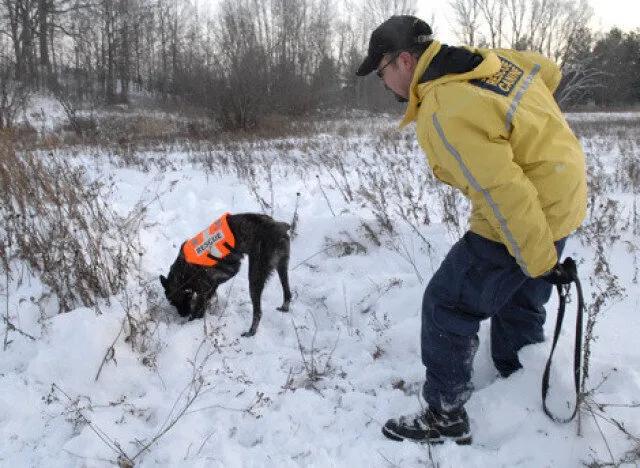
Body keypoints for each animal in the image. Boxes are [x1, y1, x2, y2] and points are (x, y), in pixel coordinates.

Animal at [160, 212, 292, 336]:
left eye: (173, 301)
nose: (182, 315)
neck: (182, 274)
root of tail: (279, 227)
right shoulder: (211, 287)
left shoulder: (203, 291)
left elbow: (197, 311)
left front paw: (190, 323)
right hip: (282, 267)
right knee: (288, 293)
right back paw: (284, 308)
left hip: (255, 276)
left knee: (258, 313)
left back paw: (250, 332)